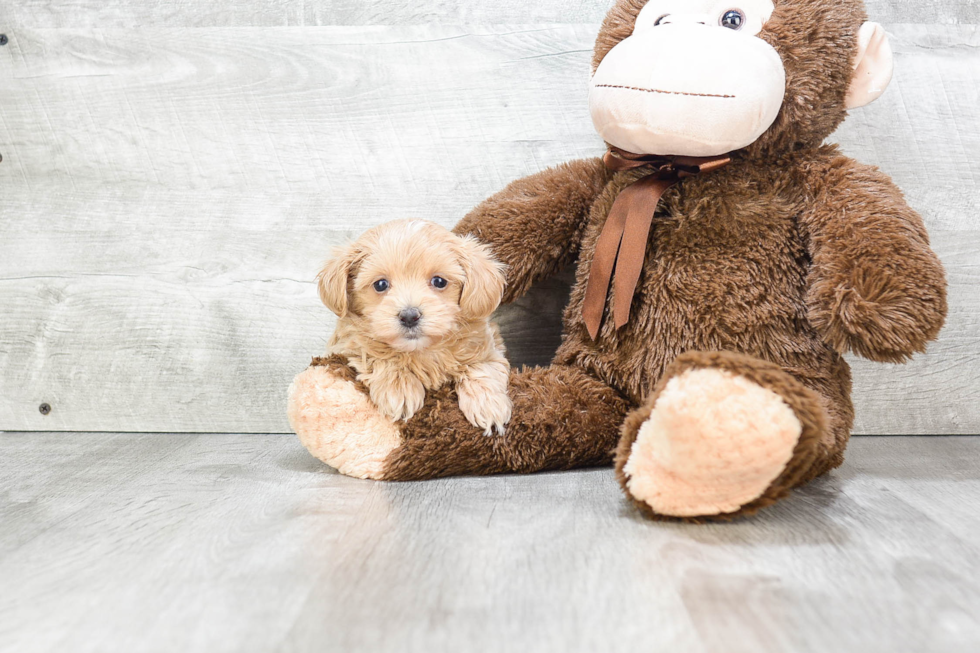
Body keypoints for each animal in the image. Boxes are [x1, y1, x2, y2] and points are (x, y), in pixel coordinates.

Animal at [318, 218, 512, 432]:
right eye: (380, 285)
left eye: (439, 281)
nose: (409, 316)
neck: (421, 350)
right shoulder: (347, 344)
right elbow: (375, 354)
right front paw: (399, 387)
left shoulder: (488, 348)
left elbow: (481, 367)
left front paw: (488, 404)